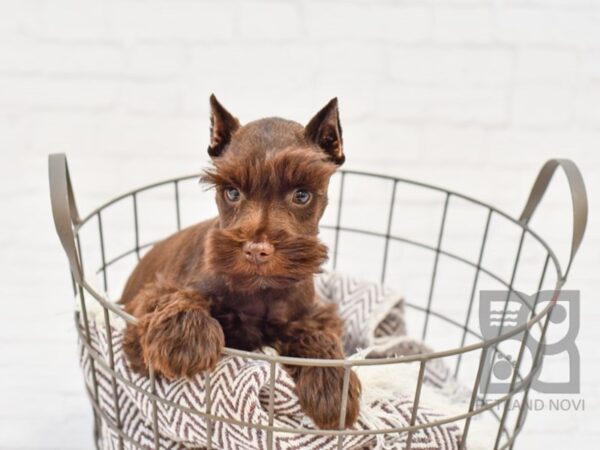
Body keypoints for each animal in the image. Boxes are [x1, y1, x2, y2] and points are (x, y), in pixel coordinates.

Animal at [119, 95, 358, 428]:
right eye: (232, 192)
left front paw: (334, 383)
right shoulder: (148, 306)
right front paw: (184, 336)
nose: (257, 250)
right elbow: (173, 297)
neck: (261, 290)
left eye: (301, 195)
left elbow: (318, 333)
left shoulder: (309, 314)